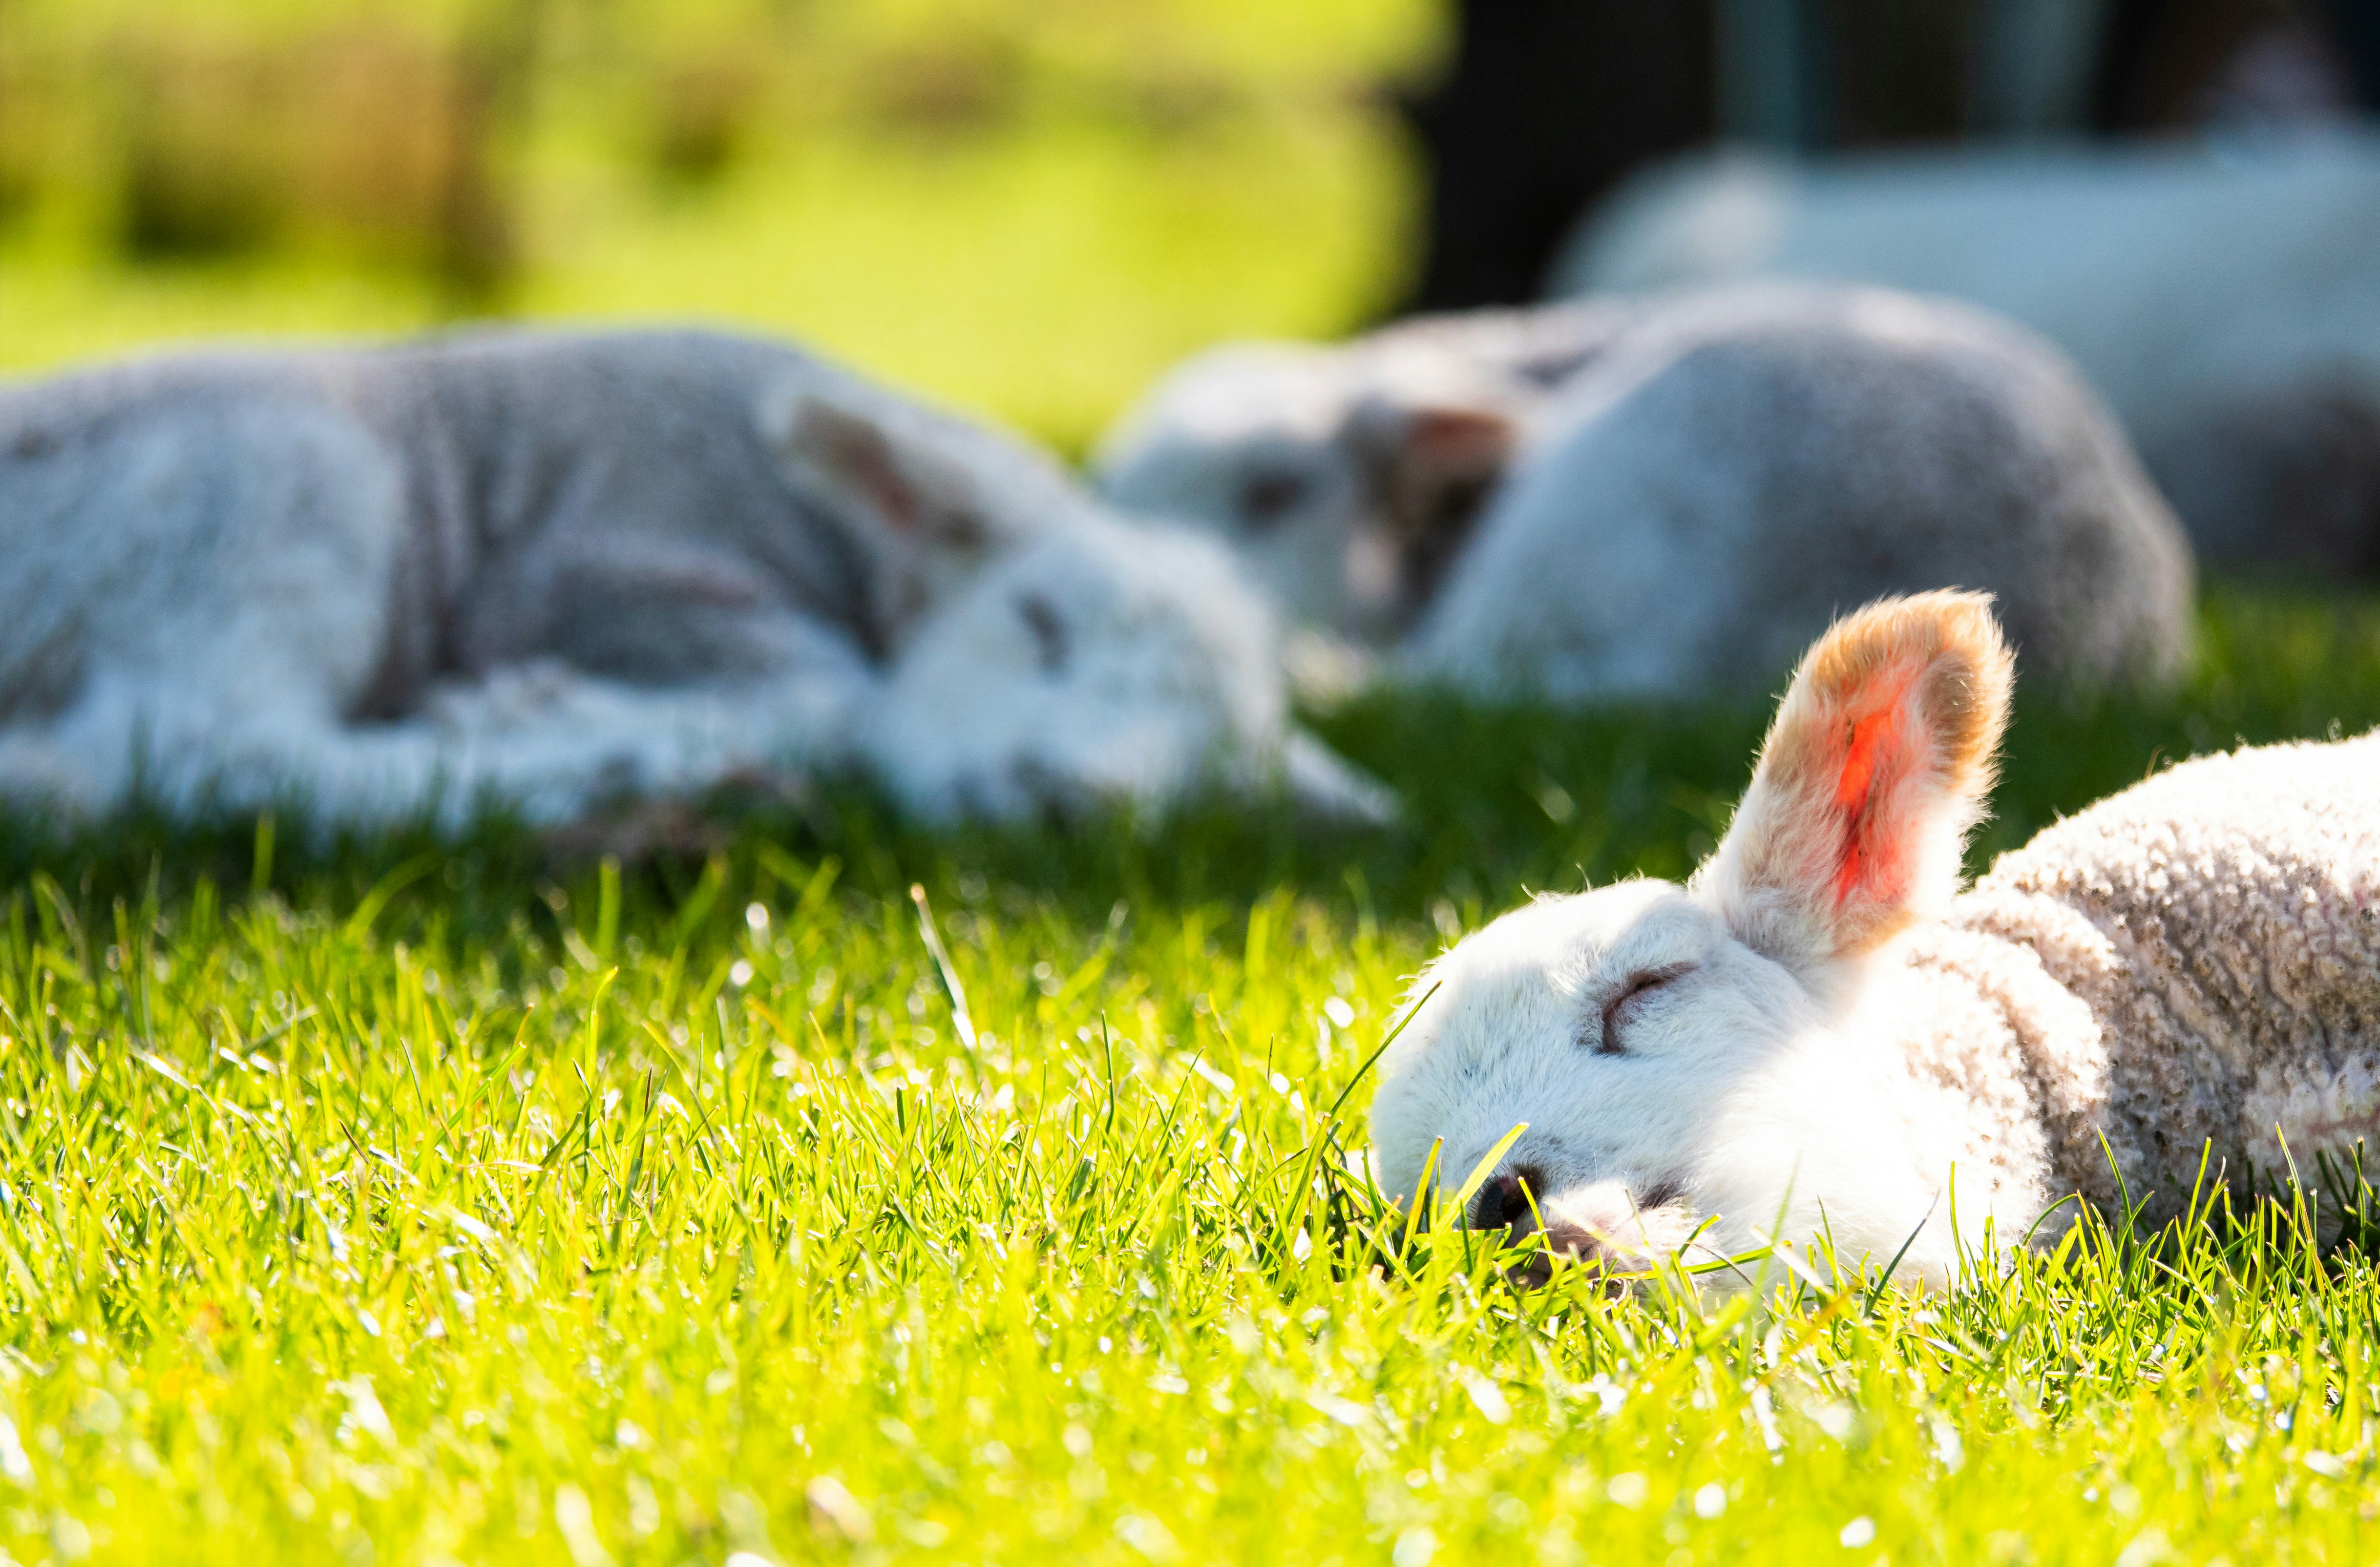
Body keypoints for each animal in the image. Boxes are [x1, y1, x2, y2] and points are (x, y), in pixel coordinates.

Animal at [0, 328, 1390, 830]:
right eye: (1037, 623)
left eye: (1210, 771)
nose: (1069, 793)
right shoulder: (623, 567)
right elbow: (838, 700)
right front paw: (537, 713)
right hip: (269, 485)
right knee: (207, 742)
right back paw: (599, 773)